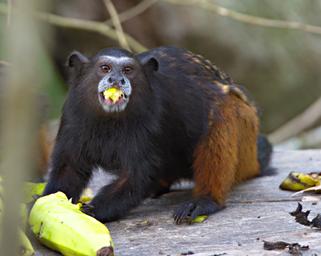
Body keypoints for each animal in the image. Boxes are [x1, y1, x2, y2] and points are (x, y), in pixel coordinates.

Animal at [43, 47, 270, 223]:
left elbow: (136, 177)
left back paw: (206, 200)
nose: (116, 79)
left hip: (247, 140)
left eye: (128, 70)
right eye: (104, 68)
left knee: (223, 109)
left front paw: (92, 212)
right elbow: (69, 169)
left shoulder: (153, 119)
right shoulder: (73, 117)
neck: (110, 120)